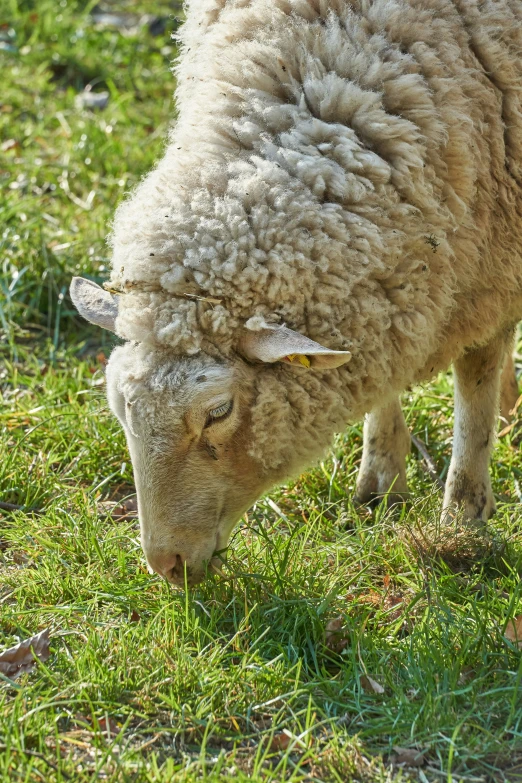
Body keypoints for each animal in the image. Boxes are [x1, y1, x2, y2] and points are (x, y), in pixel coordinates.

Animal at [70, 0, 520, 588]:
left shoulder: (494, 263)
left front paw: (463, 519)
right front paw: (380, 485)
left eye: (218, 411)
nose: (167, 566)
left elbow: (475, 381)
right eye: (121, 409)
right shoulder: (396, 280)